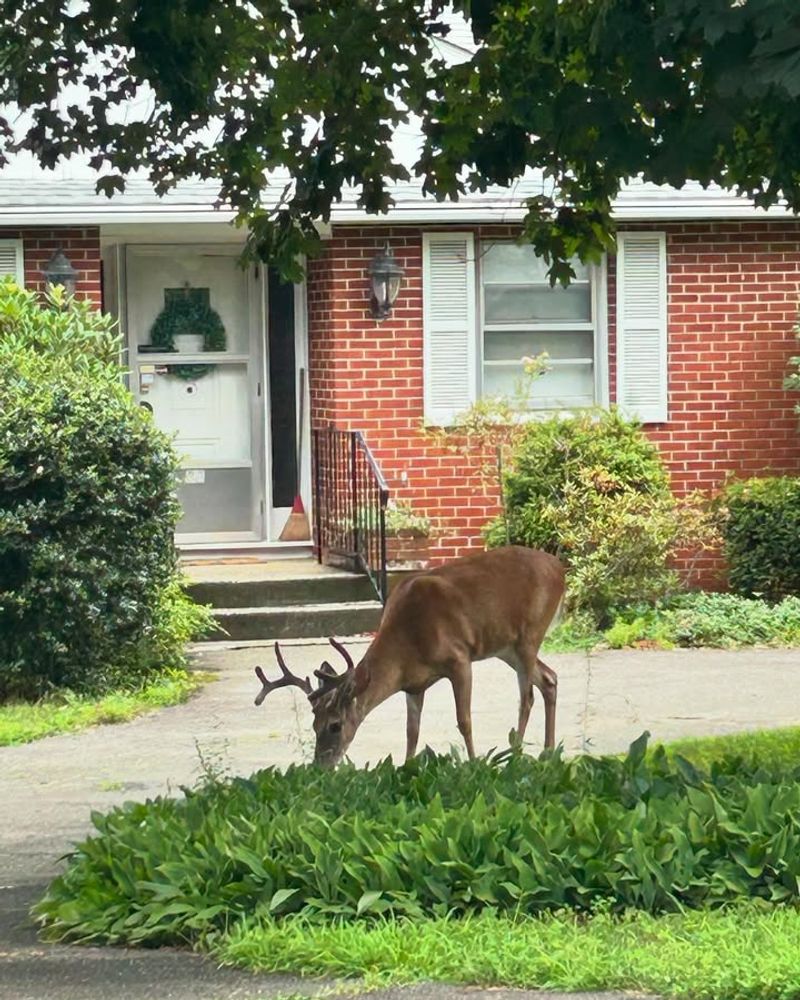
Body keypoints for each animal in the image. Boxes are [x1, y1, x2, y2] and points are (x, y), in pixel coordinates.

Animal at [253, 545, 566, 767]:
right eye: (314, 725)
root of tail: (560, 569)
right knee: (549, 678)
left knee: (527, 697)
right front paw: (407, 768)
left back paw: (515, 755)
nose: (320, 767)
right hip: (507, 648)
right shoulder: (413, 685)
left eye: (335, 725)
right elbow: (411, 731)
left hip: (529, 634)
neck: (408, 642)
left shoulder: (459, 658)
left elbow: (464, 720)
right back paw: (549, 752)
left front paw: (475, 765)